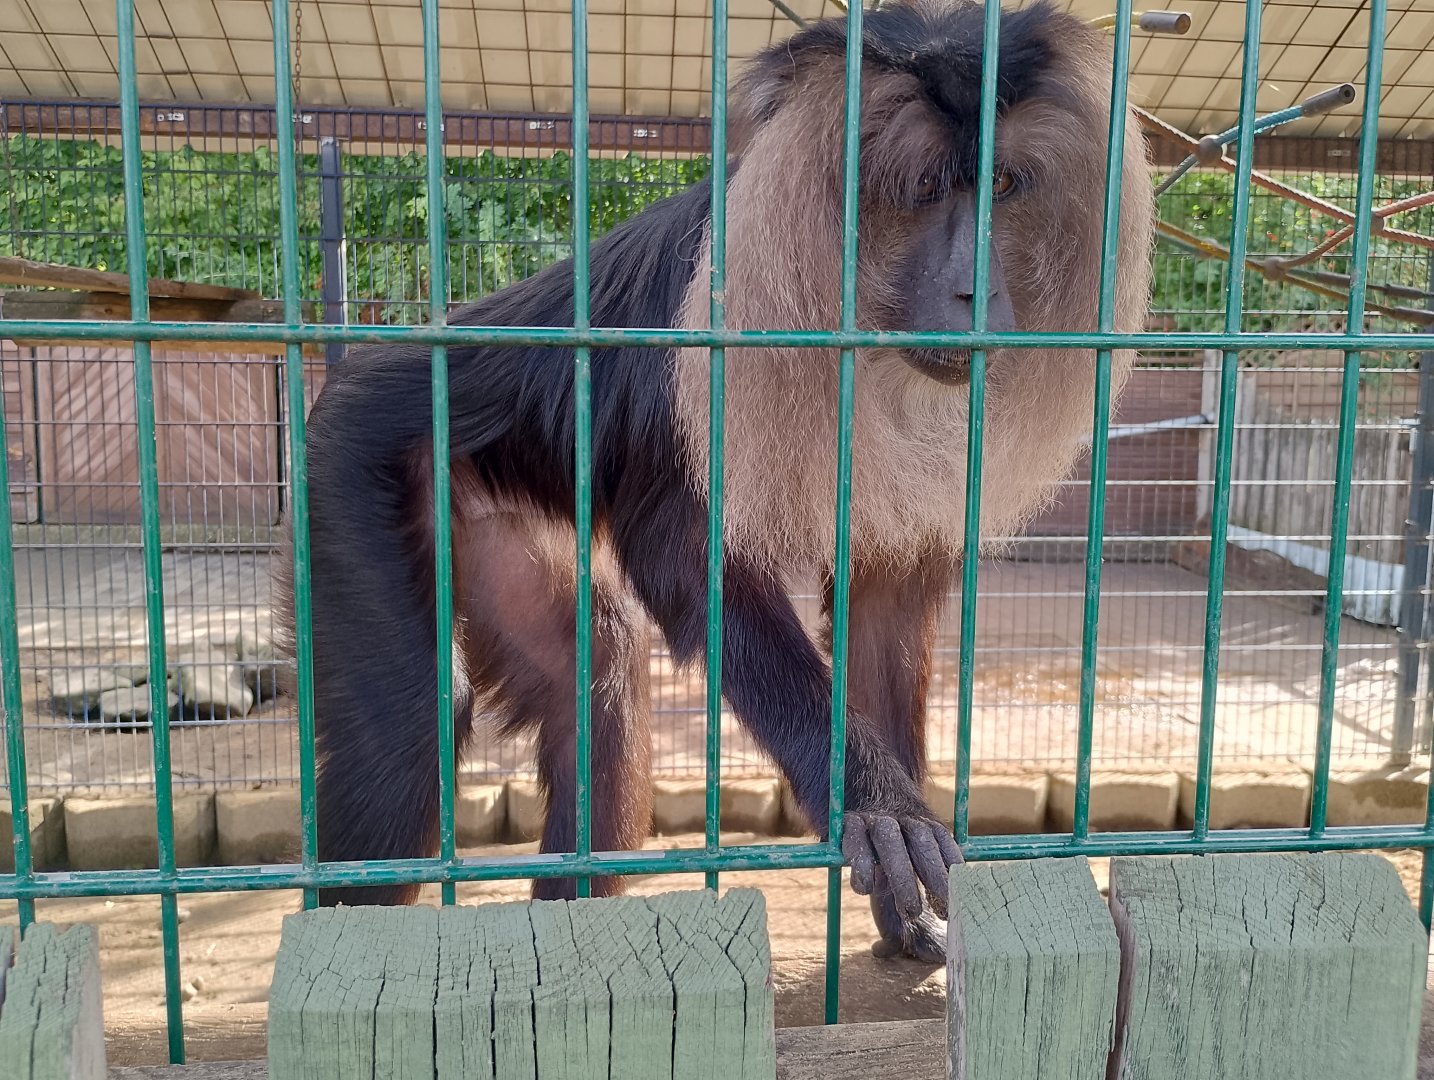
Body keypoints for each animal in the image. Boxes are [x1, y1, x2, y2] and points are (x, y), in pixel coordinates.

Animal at [273, 0, 1154, 965]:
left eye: (996, 186)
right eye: (925, 190)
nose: (975, 289)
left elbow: (881, 611)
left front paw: (903, 894)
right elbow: (689, 562)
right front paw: (872, 802)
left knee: (598, 672)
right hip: (348, 464)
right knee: (409, 732)